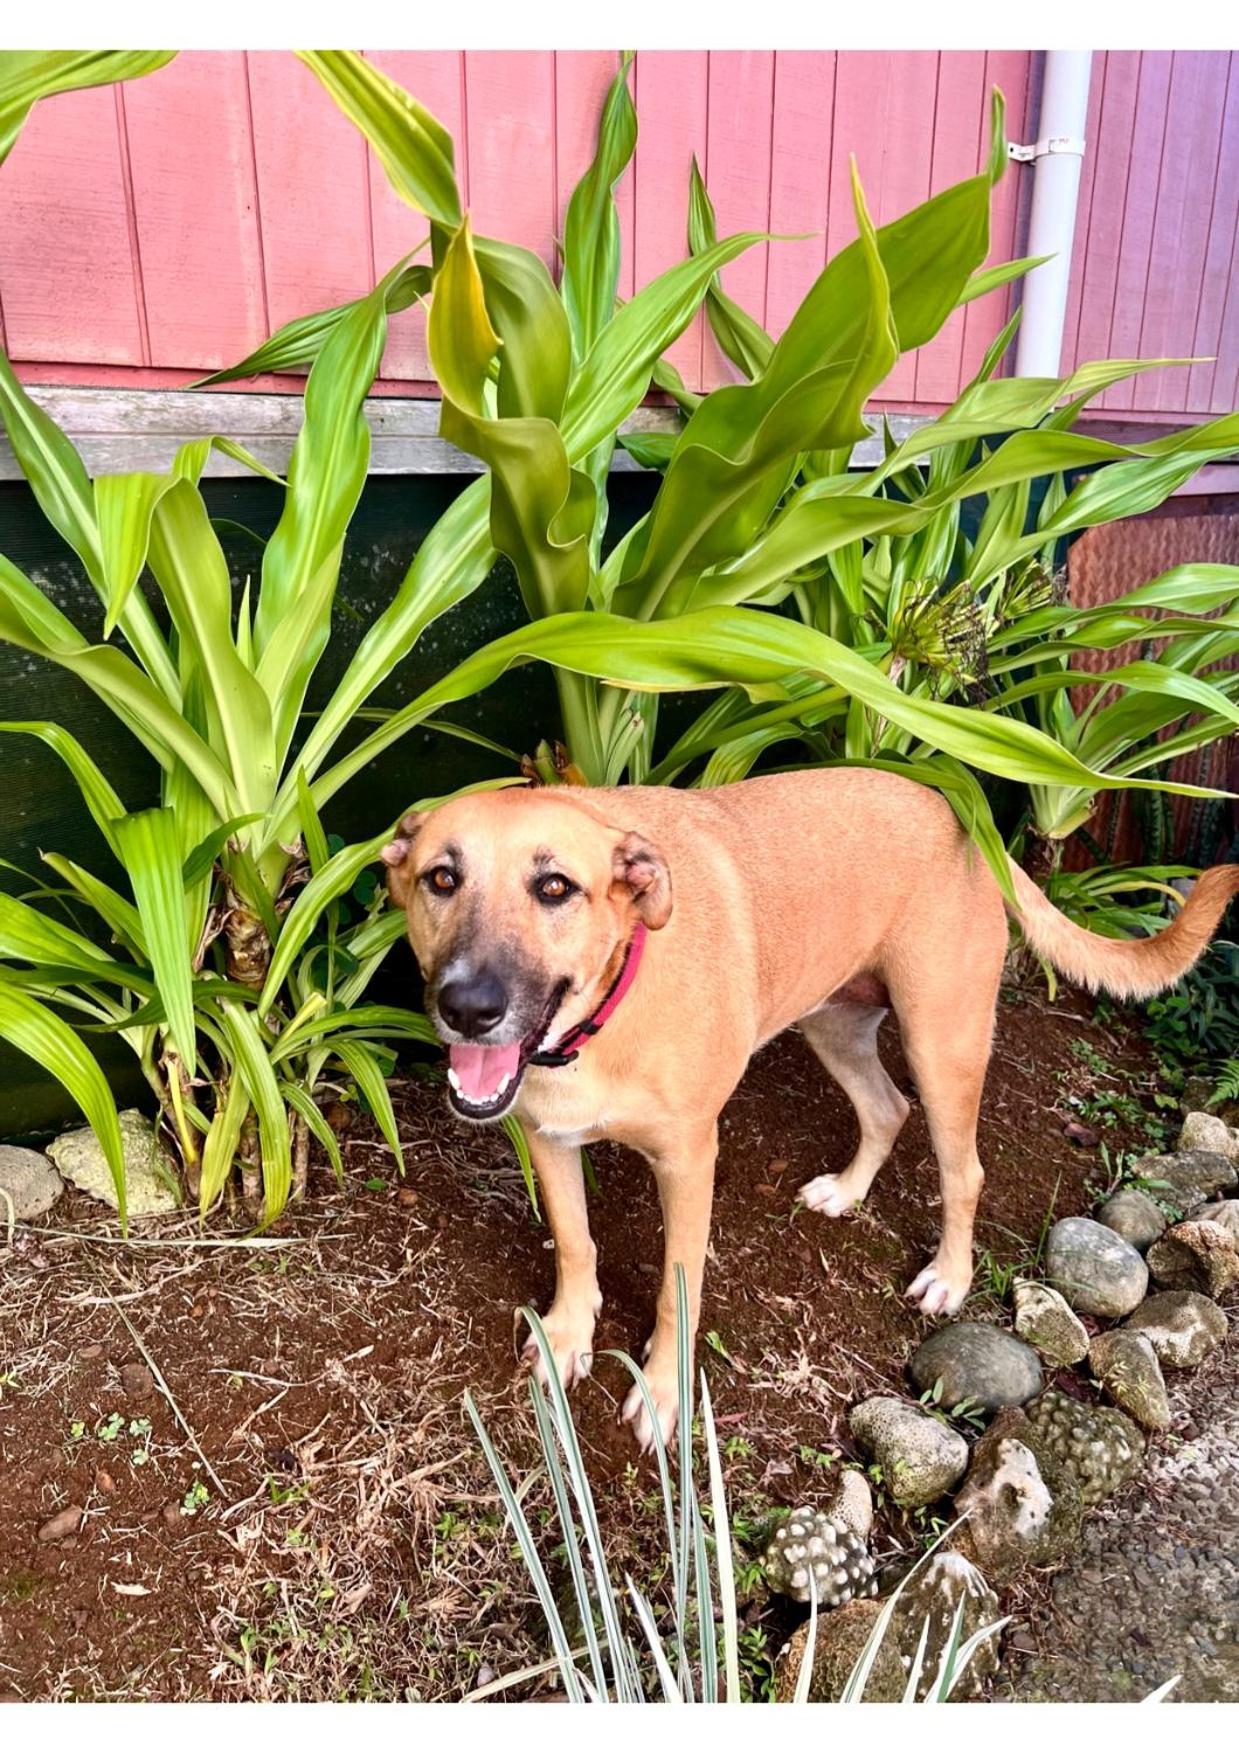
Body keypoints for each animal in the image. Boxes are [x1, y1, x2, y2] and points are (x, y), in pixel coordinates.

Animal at [382, 774, 1233, 1444]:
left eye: (555, 886)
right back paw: (846, 1191)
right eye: (442, 878)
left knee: (963, 1170)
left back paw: (948, 1276)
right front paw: (566, 1334)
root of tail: (954, 811)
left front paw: (661, 1394)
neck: (606, 1006)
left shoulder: (689, 1161)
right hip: (834, 1024)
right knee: (885, 1109)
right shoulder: (548, 1138)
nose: (467, 1007)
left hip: (942, 1043)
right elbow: (574, 1243)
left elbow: (675, 1289)